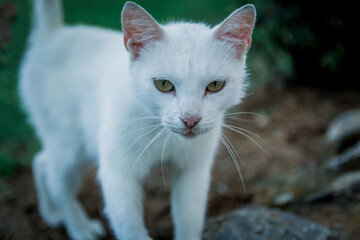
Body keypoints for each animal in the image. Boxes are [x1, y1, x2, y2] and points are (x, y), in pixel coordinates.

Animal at [19, 0, 256, 239]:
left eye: (215, 85)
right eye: (163, 84)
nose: (190, 119)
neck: (162, 133)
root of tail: (53, 35)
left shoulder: (192, 172)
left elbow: (189, 220)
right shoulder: (117, 175)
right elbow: (130, 228)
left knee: (41, 161)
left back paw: (51, 213)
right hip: (69, 145)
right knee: (56, 180)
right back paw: (79, 228)